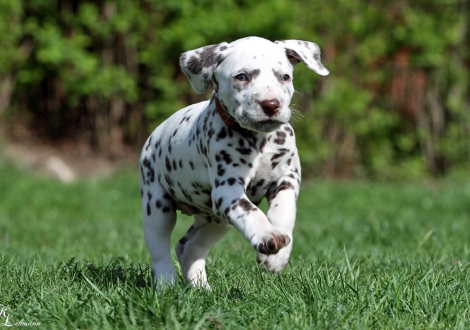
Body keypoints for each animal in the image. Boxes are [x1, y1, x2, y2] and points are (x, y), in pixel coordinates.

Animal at [141, 36, 328, 288]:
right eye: (242, 77)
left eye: (284, 77)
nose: (271, 104)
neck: (259, 141)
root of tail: (154, 135)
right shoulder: (228, 190)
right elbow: (251, 213)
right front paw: (267, 236)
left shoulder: (287, 178)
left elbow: (285, 209)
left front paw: (278, 256)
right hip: (157, 207)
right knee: (161, 253)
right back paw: (166, 286)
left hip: (216, 220)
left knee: (189, 247)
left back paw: (202, 288)